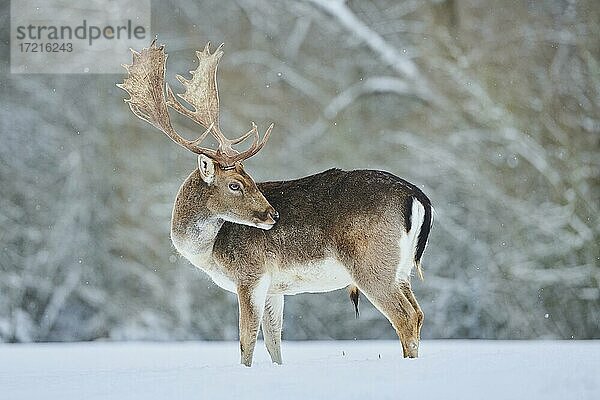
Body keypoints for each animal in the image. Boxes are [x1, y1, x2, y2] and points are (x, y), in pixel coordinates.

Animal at [118, 39, 432, 368]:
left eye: (246, 181)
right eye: (237, 183)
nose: (272, 215)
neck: (209, 252)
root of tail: (417, 197)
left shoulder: (250, 274)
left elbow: (246, 342)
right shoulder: (275, 288)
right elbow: (273, 343)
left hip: (371, 262)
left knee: (405, 317)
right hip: (402, 269)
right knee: (419, 313)